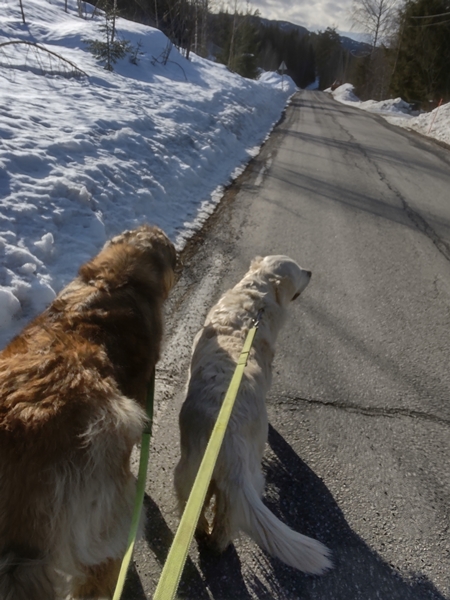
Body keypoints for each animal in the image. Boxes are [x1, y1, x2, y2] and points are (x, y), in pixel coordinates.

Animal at [174, 255, 332, 576]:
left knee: (196, 509)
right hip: (247, 476)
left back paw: (201, 533)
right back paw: (217, 544)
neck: (254, 301)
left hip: (191, 474)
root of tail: (226, 441)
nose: (311, 271)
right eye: (299, 271)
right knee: (227, 520)